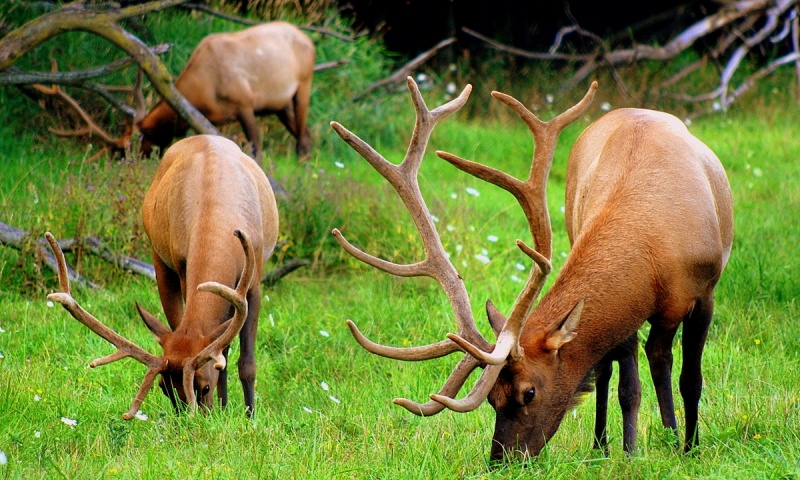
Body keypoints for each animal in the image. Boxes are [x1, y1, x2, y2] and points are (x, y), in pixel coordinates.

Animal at [47, 133, 280, 418]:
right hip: (159, 259)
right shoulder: (181, 264)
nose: (193, 421)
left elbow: (246, 363)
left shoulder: (253, 281)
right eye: (164, 388)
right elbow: (215, 350)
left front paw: (250, 417)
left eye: (203, 386)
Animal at [136, 21, 314, 160]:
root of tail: (310, 42)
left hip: (304, 85)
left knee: (302, 135)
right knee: (305, 131)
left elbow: (256, 148)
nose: (140, 156)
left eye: (146, 134)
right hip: (281, 105)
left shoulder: (245, 105)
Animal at [330, 79, 732, 462]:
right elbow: (626, 385)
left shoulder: (706, 291)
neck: (657, 248)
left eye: (530, 392)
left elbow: (691, 379)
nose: (501, 459)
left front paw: (691, 448)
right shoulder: (630, 308)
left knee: (660, 357)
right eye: (492, 398)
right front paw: (630, 452)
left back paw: (673, 437)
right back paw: (607, 445)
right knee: (631, 363)